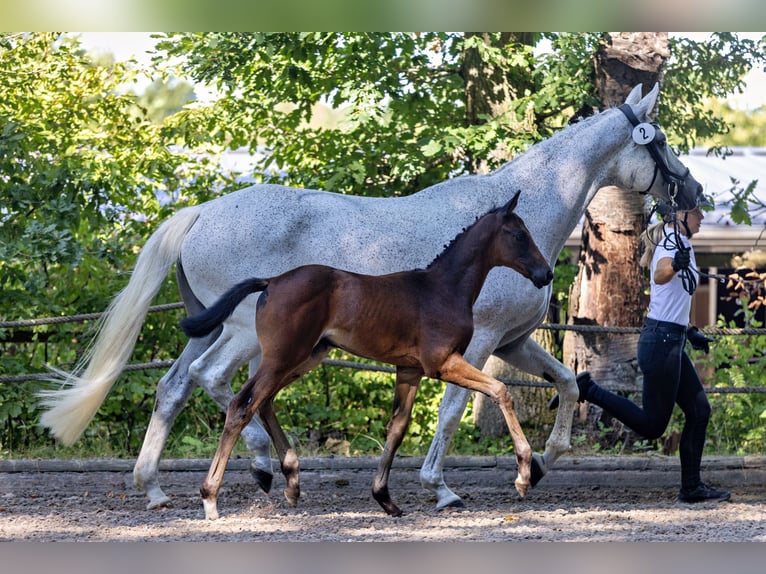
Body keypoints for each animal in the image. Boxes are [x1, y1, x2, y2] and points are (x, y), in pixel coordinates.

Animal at [180, 191, 553, 519]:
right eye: (519, 235)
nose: (545, 273)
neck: (443, 290)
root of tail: (271, 282)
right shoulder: (442, 363)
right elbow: (500, 390)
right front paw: (523, 474)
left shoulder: (409, 370)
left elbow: (396, 428)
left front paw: (385, 499)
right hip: (283, 357)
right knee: (241, 405)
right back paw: (211, 498)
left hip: (304, 358)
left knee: (264, 402)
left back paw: (292, 483)